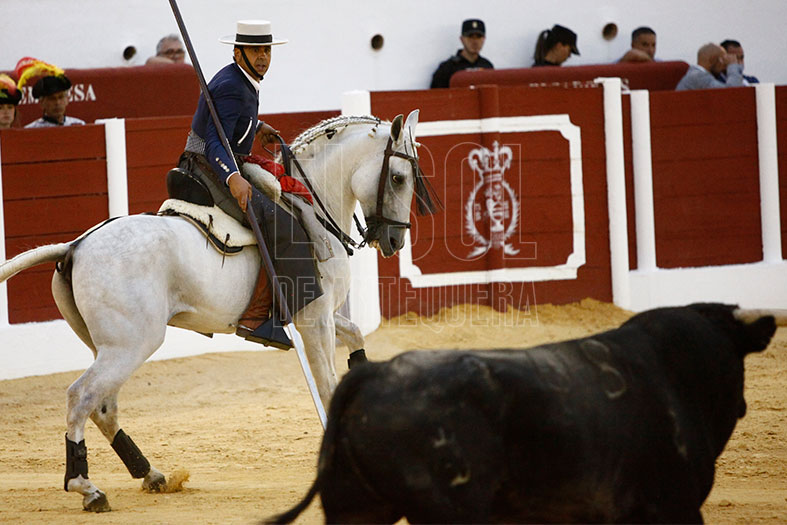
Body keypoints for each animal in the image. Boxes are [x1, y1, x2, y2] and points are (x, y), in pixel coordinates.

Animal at [0, 109, 436, 512]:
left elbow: (357, 335)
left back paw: (152, 474)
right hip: (131, 344)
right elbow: (327, 384)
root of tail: (75, 246)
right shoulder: (313, 317)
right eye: (399, 178)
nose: (394, 240)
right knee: (81, 397)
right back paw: (87, 488)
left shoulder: (323, 313)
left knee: (102, 407)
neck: (312, 208)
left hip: (107, 346)